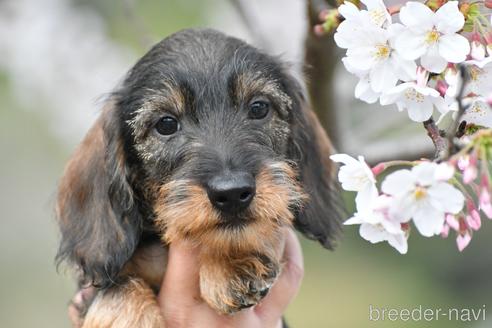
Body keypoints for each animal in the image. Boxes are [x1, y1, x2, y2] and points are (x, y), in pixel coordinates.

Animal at [55, 28, 342, 328]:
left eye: (259, 108)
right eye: (166, 124)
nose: (231, 194)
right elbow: (116, 288)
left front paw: (230, 261)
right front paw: (127, 316)